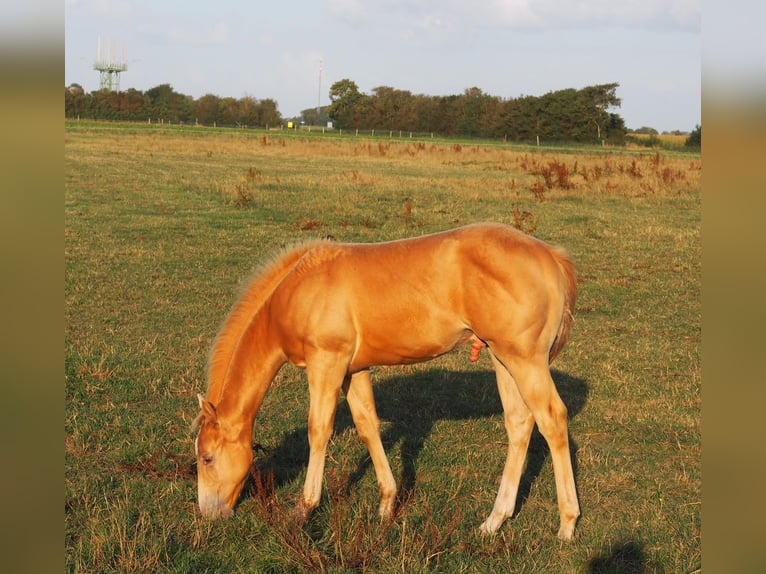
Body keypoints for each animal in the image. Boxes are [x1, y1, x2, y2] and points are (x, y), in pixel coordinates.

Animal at [194, 220, 584, 540]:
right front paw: (386, 504)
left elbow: (318, 430)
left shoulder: (326, 363)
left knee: (552, 419)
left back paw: (567, 524)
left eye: (207, 458)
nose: (209, 515)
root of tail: (550, 256)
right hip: (501, 357)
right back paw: (493, 521)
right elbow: (368, 425)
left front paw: (303, 510)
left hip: (524, 360)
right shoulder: (353, 370)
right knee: (520, 423)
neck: (300, 290)